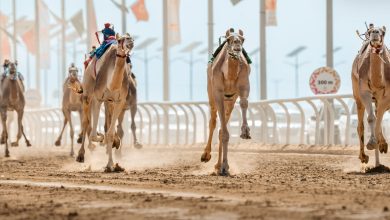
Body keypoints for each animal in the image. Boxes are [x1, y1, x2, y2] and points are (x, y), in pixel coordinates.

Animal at [76, 33, 134, 172]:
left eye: (131, 37)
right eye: (120, 40)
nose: (130, 42)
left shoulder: (119, 101)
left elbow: (111, 133)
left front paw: (110, 164)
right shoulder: (98, 98)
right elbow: (93, 134)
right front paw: (100, 138)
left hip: (109, 102)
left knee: (107, 124)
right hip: (87, 92)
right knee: (86, 122)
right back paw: (81, 155)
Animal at [200, 28, 251, 175]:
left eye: (243, 39)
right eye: (228, 40)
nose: (237, 48)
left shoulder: (243, 86)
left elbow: (244, 102)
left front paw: (245, 132)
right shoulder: (217, 92)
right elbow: (222, 129)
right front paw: (223, 166)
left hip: (230, 100)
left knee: (222, 128)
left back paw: (218, 166)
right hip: (211, 93)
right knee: (213, 121)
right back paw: (206, 156)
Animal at [352, 24, 390, 167]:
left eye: (383, 32)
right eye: (369, 31)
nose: (375, 32)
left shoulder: (386, 96)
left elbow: (379, 119)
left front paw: (381, 143)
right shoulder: (364, 91)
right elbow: (372, 118)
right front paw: (372, 143)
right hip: (357, 96)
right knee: (360, 126)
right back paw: (364, 157)